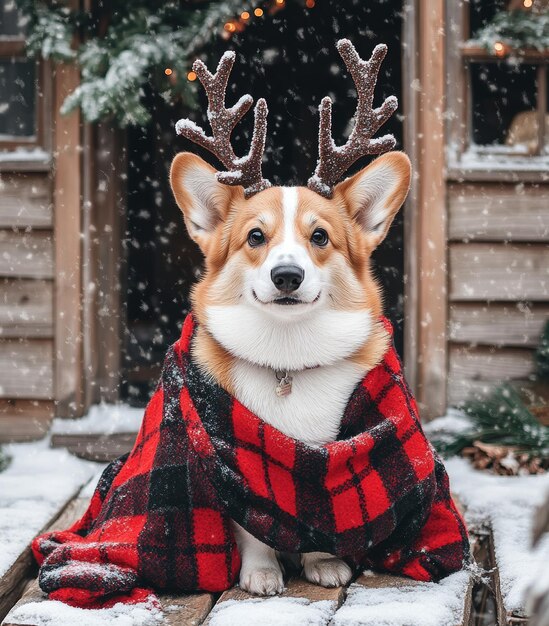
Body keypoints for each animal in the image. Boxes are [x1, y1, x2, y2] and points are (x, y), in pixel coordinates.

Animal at [169, 40, 408, 596]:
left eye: (319, 237)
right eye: (255, 237)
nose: (286, 276)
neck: (287, 359)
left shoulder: (326, 459)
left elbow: (318, 514)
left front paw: (323, 561)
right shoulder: (234, 470)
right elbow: (254, 526)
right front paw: (261, 573)